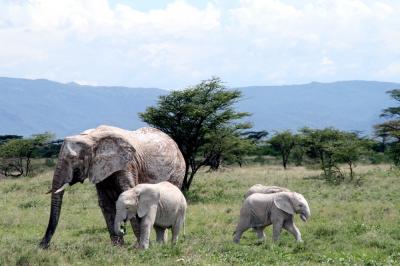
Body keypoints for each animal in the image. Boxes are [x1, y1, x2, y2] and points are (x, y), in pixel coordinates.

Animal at [39, 125, 186, 248]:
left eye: (74, 160)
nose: (42, 245)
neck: (91, 137)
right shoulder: (99, 169)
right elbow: (105, 203)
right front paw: (117, 248)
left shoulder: (127, 164)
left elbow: (129, 194)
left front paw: (138, 247)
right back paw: (161, 244)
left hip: (178, 171)